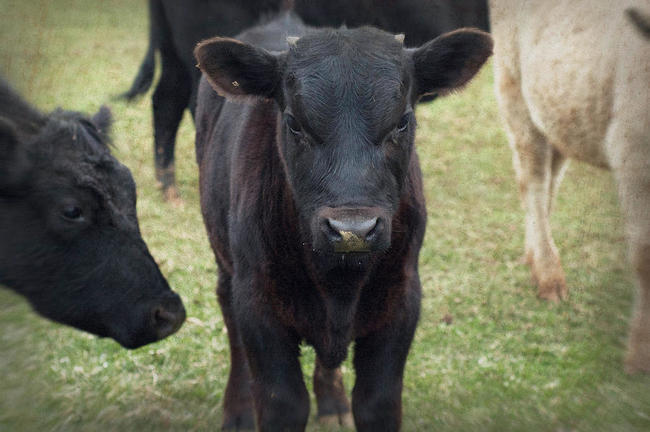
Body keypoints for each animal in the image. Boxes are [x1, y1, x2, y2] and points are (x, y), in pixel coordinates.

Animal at [194, 12, 492, 430]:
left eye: (403, 121)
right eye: (294, 123)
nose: (353, 230)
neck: (338, 283)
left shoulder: (402, 300)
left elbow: (377, 402)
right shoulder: (257, 302)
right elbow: (282, 401)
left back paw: (333, 403)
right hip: (223, 258)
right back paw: (237, 412)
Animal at [490, 0, 650, 373]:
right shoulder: (632, 152)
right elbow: (645, 257)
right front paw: (640, 355)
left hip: (561, 107)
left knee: (550, 178)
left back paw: (535, 255)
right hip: (513, 84)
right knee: (533, 181)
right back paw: (549, 275)